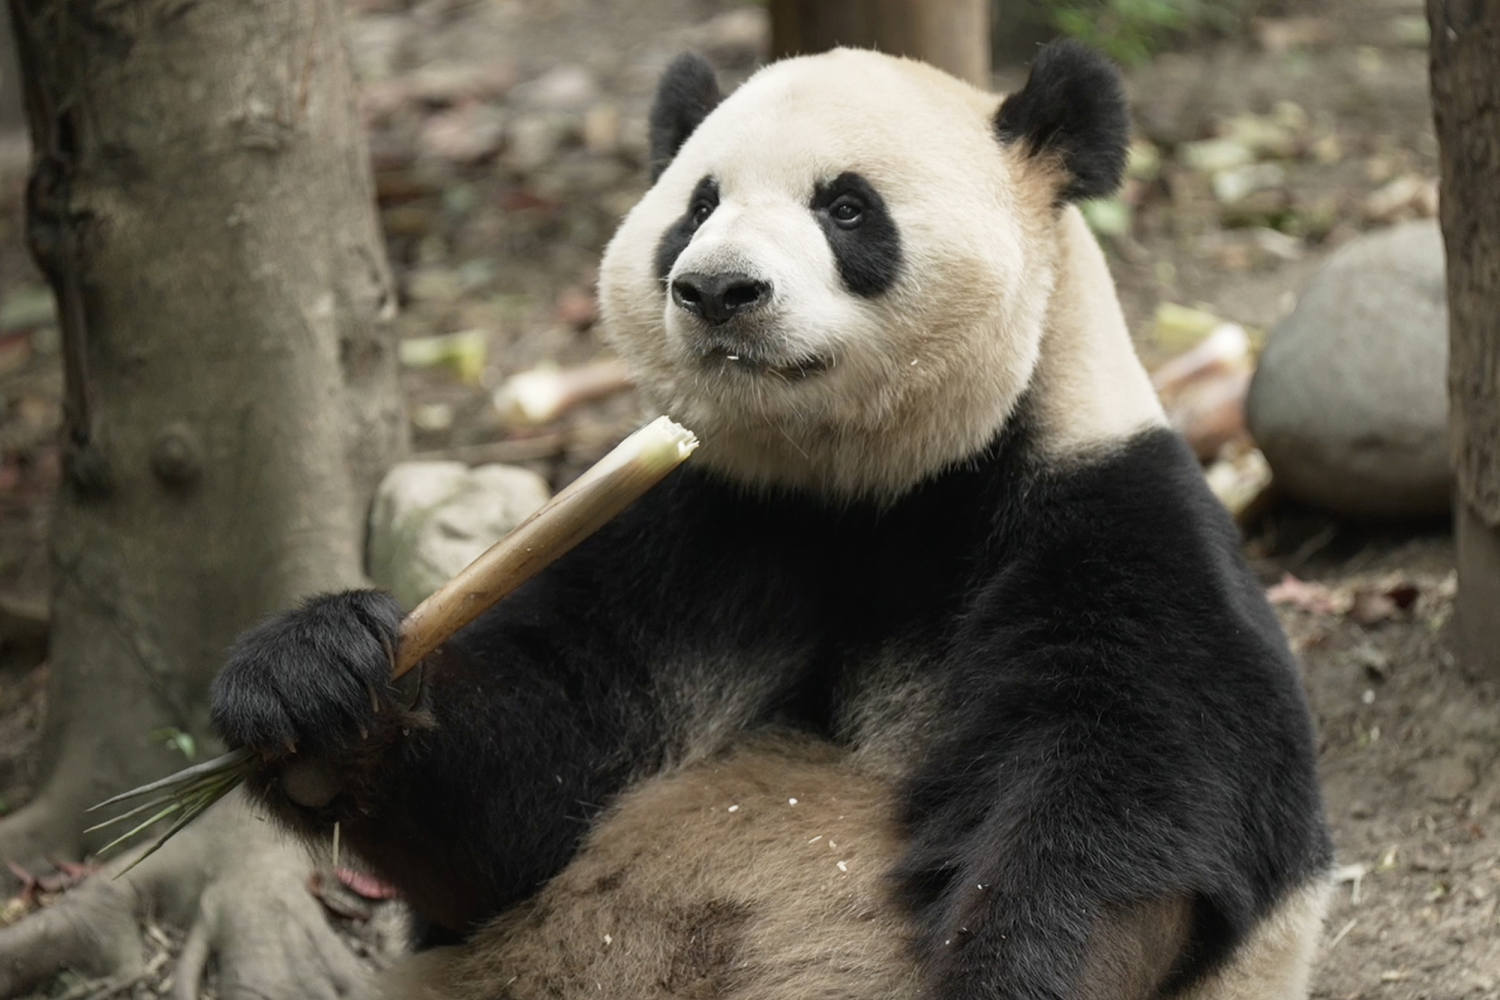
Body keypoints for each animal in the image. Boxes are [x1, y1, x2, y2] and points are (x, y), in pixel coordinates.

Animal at [209, 41, 1333, 1000]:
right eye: (696, 205)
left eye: (847, 207)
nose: (717, 289)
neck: (867, 489)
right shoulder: (701, 537)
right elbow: (524, 789)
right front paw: (312, 687)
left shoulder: (1105, 519)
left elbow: (1127, 807)